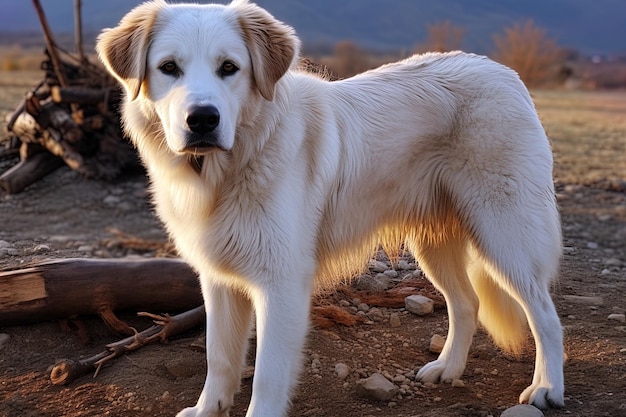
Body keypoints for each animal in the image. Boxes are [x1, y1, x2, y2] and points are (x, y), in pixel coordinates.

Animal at [96, 1, 560, 414]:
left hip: (505, 236)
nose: (203, 120)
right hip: (434, 243)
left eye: (229, 68)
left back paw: (547, 388)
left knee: (544, 314)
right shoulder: (218, 278)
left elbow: (267, 376)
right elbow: (219, 356)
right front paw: (208, 409)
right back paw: (447, 369)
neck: (228, 168)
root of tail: (504, 74)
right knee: (467, 304)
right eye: (168, 68)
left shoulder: (281, 283)